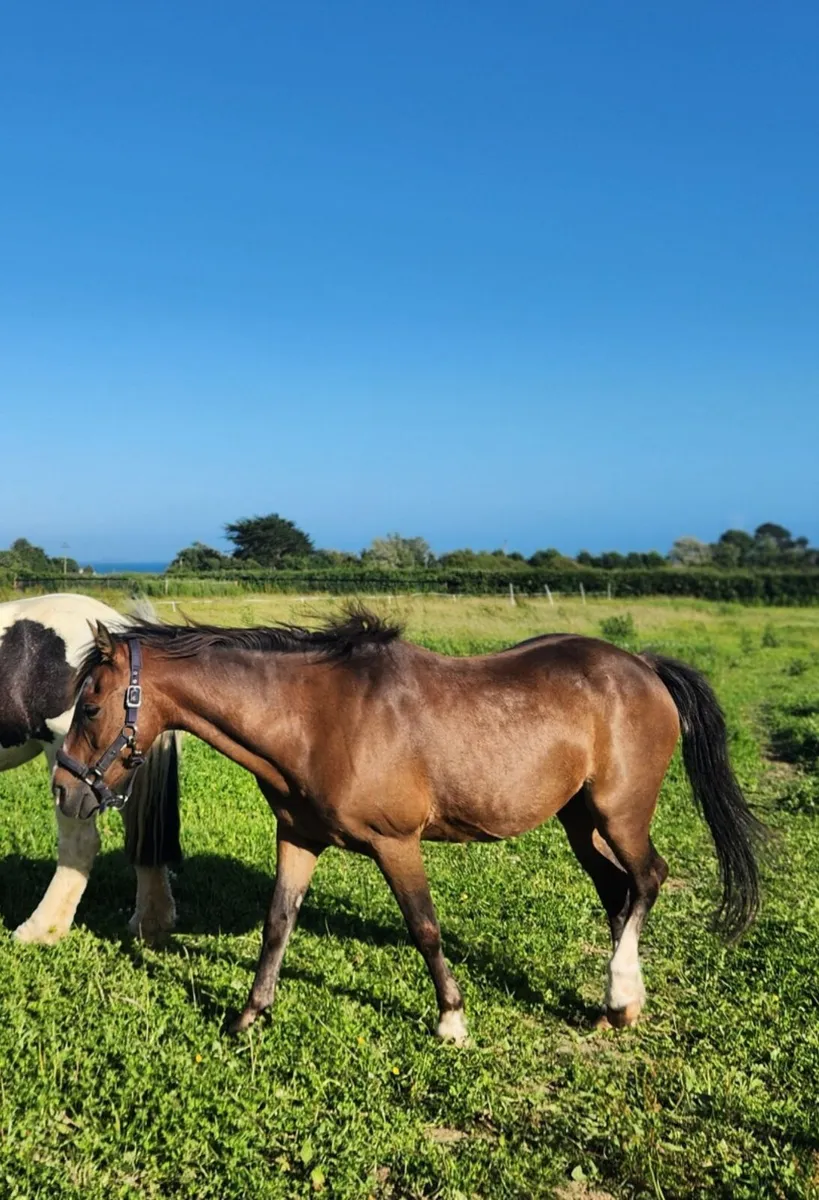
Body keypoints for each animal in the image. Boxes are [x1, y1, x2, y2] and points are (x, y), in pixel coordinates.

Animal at [53, 609, 763, 1043]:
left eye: (90, 705)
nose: (64, 789)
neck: (316, 717)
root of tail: (642, 666)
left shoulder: (397, 844)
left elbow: (423, 927)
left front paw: (452, 1019)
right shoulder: (299, 838)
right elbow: (277, 923)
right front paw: (250, 1014)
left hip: (619, 814)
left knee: (648, 879)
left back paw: (619, 994)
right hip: (579, 821)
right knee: (618, 892)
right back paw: (622, 1002)